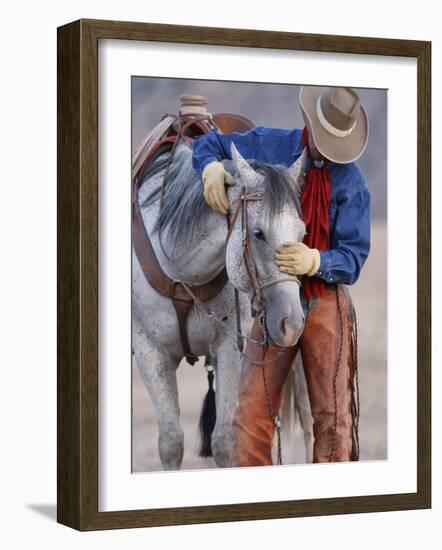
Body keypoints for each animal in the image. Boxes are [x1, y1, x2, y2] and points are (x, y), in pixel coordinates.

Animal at [133, 141, 312, 470]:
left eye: (302, 234)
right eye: (258, 233)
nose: (292, 324)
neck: (182, 271)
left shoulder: (230, 348)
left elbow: (224, 441)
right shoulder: (150, 352)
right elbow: (171, 443)